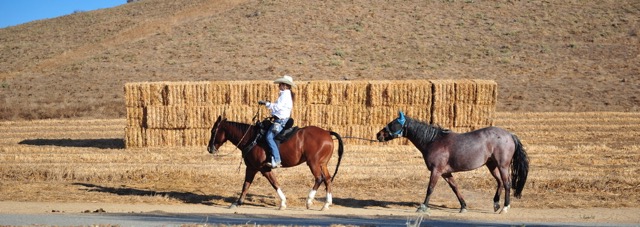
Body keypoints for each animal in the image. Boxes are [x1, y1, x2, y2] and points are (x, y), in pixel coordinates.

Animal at [208, 116, 342, 210]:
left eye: (213, 131)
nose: (209, 148)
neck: (252, 139)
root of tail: (327, 133)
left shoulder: (263, 168)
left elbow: (274, 183)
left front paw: (282, 203)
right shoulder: (251, 167)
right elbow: (246, 185)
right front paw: (238, 202)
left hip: (313, 163)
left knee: (319, 178)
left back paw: (309, 201)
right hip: (322, 164)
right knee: (327, 179)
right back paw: (326, 204)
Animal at [376, 111, 528, 215]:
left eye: (392, 123)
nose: (378, 135)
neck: (433, 140)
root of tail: (510, 135)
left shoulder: (436, 171)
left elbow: (430, 188)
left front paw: (423, 207)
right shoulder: (446, 173)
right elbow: (455, 188)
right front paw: (463, 206)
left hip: (503, 166)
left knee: (507, 184)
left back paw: (505, 207)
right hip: (492, 165)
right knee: (500, 182)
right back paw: (496, 204)